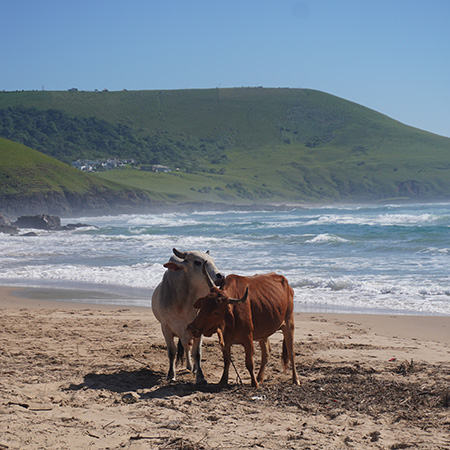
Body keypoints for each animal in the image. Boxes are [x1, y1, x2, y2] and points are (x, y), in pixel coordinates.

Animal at [152, 250, 224, 384]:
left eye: (213, 261)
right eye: (197, 262)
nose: (221, 276)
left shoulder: (198, 329)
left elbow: (197, 353)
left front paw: (200, 376)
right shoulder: (165, 327)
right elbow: (172, 352)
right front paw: (171, 374)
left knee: (188, 347)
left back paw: (193, 367)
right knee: (185, 347)